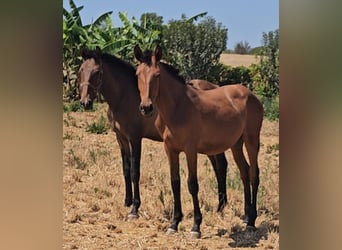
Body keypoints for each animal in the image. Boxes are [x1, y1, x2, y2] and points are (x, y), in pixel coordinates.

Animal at [78, 47, 228, 219]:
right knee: (218, 166)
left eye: (97, 72)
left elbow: (135, 172)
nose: (85, 102)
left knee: (221, 165)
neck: (124, 96)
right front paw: (127, 201)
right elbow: (126, 169)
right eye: (81, 70)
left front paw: (135, 208)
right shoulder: (121, 138)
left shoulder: (135, 138)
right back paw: (221, 205)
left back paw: (221, 207)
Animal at [134, 45, 264, 238]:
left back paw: (252, 222)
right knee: (245, 172)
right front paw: (174, 223)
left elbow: (192, 184)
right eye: (137, 74)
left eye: (157, 75)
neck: (177, 107)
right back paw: (247, 216)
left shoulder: (190, 150)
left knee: (254, 174)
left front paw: (196, 226)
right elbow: (175, 182)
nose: (146, 107)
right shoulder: (170, 149)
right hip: (236, 144)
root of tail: (251, 95)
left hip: (252, 139)